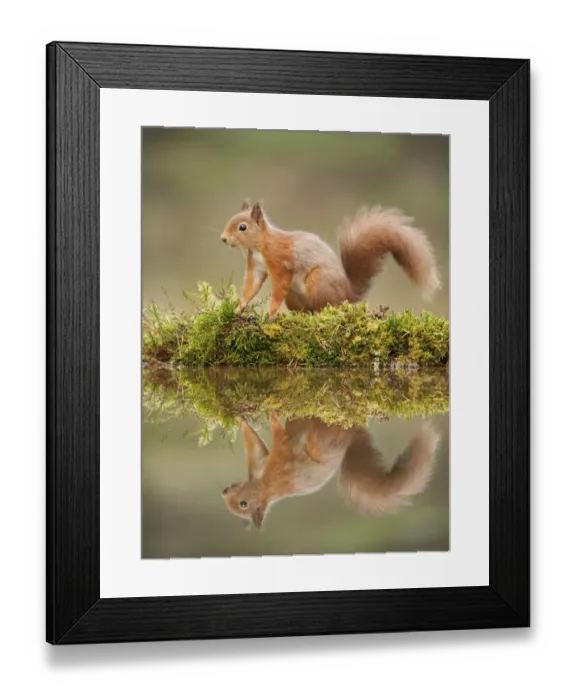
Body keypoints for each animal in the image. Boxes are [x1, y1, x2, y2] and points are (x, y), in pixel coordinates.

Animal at [220, 200, 441, 317]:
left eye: (242, 227)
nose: (223, 239)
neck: (259, 246)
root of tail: (348, 292)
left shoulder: (281, 265)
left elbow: (277, 289)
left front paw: (271, 313)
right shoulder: (257, 267)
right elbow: (251, 287)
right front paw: (239, 307)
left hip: (317, 280)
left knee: (326, 308)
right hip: (294, 296)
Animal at [221, 413, 440, 530]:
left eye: (243, 504)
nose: (224, 491)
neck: (264, 484)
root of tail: (352, 435)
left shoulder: (281, 465)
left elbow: (278, 435)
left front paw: (271, 412)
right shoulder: (258, 461)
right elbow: (253, 443)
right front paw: (242, 420)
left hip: (318, 440)